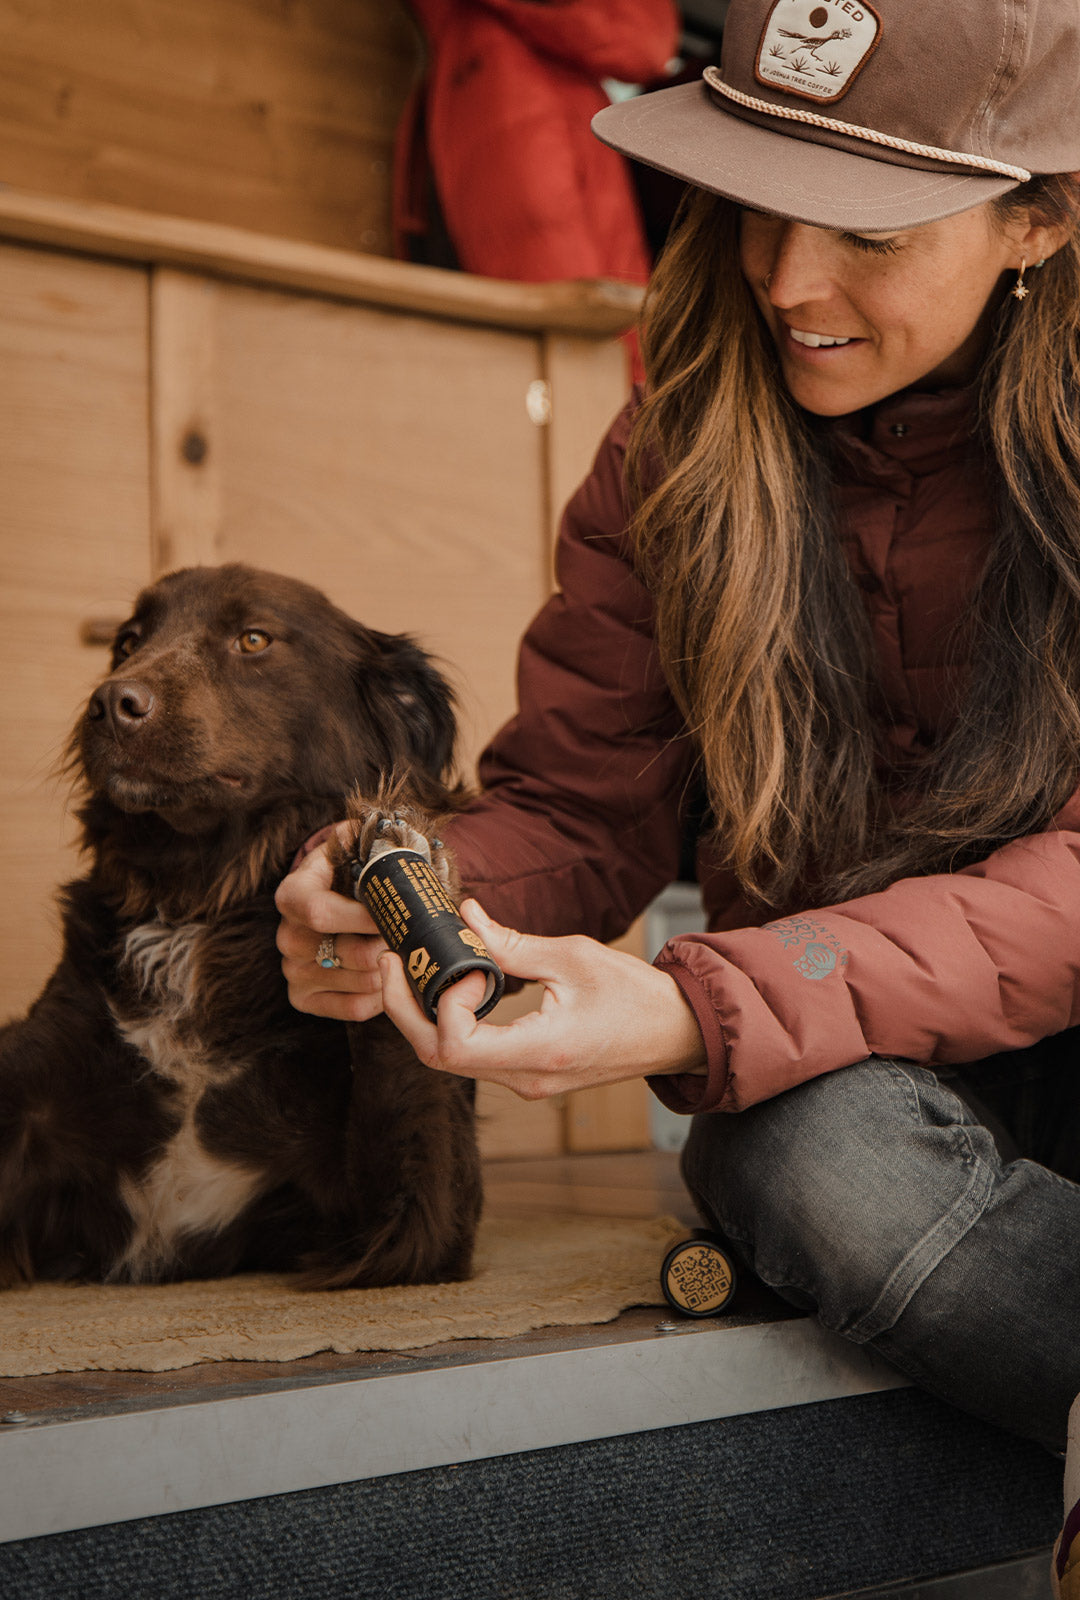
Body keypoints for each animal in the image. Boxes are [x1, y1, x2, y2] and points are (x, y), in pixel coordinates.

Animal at [0, 563, 483, 1286]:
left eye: (253, 639)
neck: (201, 904)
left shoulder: (409, 1224)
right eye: (127, 642)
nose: (109, 703)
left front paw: (387, 861)